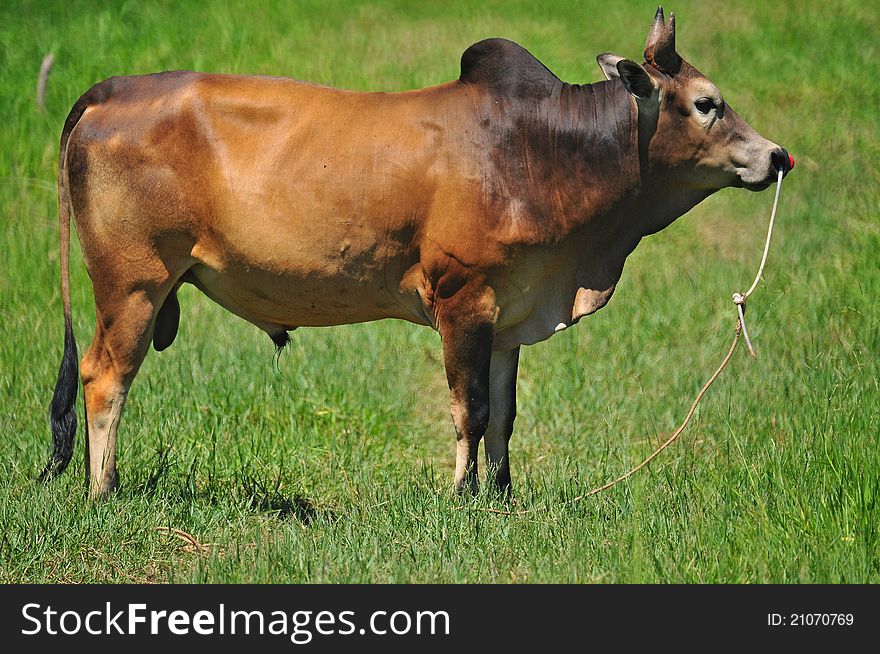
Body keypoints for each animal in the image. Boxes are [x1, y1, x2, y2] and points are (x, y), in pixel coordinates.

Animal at [44, 6, 796, 502]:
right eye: (707, 104)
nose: (777, 156)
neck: (542, 149)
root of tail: (113, 89)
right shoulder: (462, 298)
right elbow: (472, 409)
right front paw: (462, 500)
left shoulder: (509, 315)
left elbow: (505, 415)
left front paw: (500, 497)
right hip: (134, 282)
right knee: (105, 377)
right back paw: (104, 491)